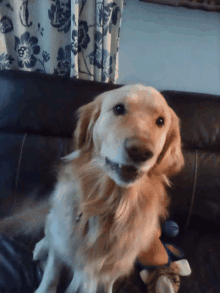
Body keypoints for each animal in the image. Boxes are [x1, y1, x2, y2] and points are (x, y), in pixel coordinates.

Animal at [31, 82, 184, 292]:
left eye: (160, 121)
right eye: (119, 108)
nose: (141, 151)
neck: (110, 203)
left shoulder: (115, 264)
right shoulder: (63, 242)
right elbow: (51, 274)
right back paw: (40, 248)